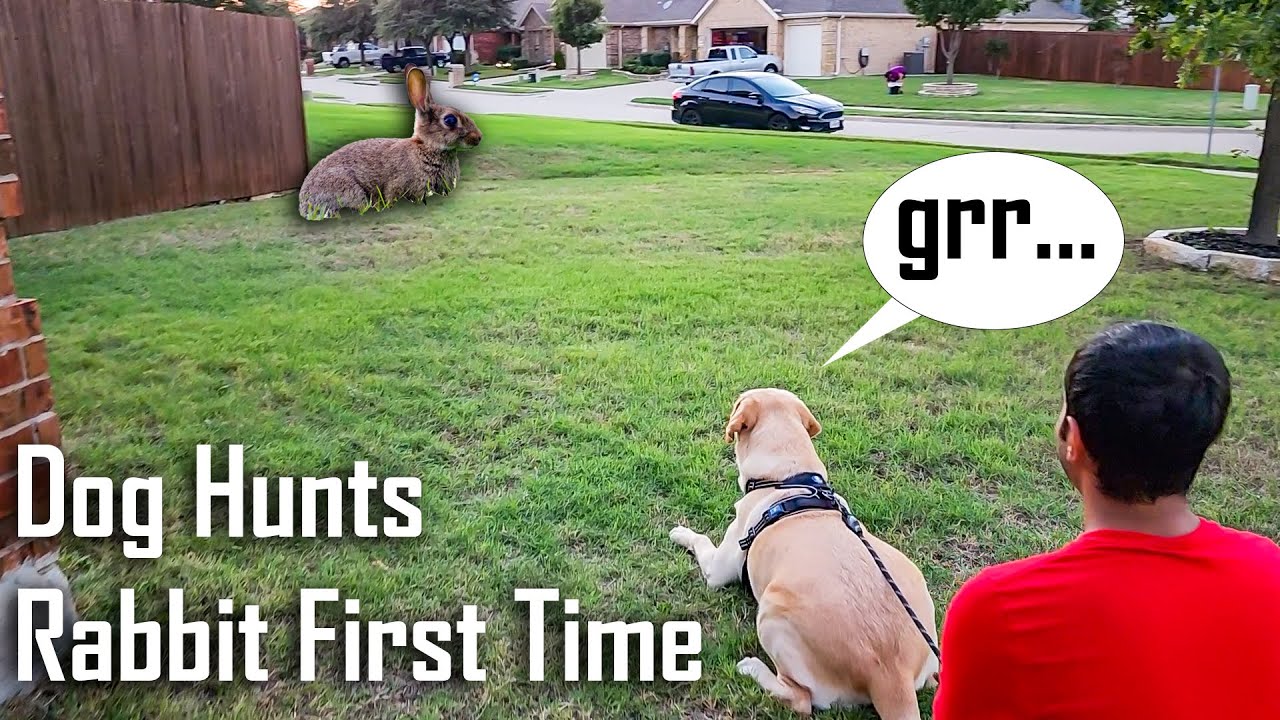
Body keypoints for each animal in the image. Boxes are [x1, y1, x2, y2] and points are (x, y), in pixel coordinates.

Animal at [670, 389, 942, 712]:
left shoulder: (719, 568)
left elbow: (700, 541)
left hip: (772, 611)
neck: (788, 474)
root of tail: (891, 675)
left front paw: (680, 532)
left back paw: (752, 668)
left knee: (800, 699)